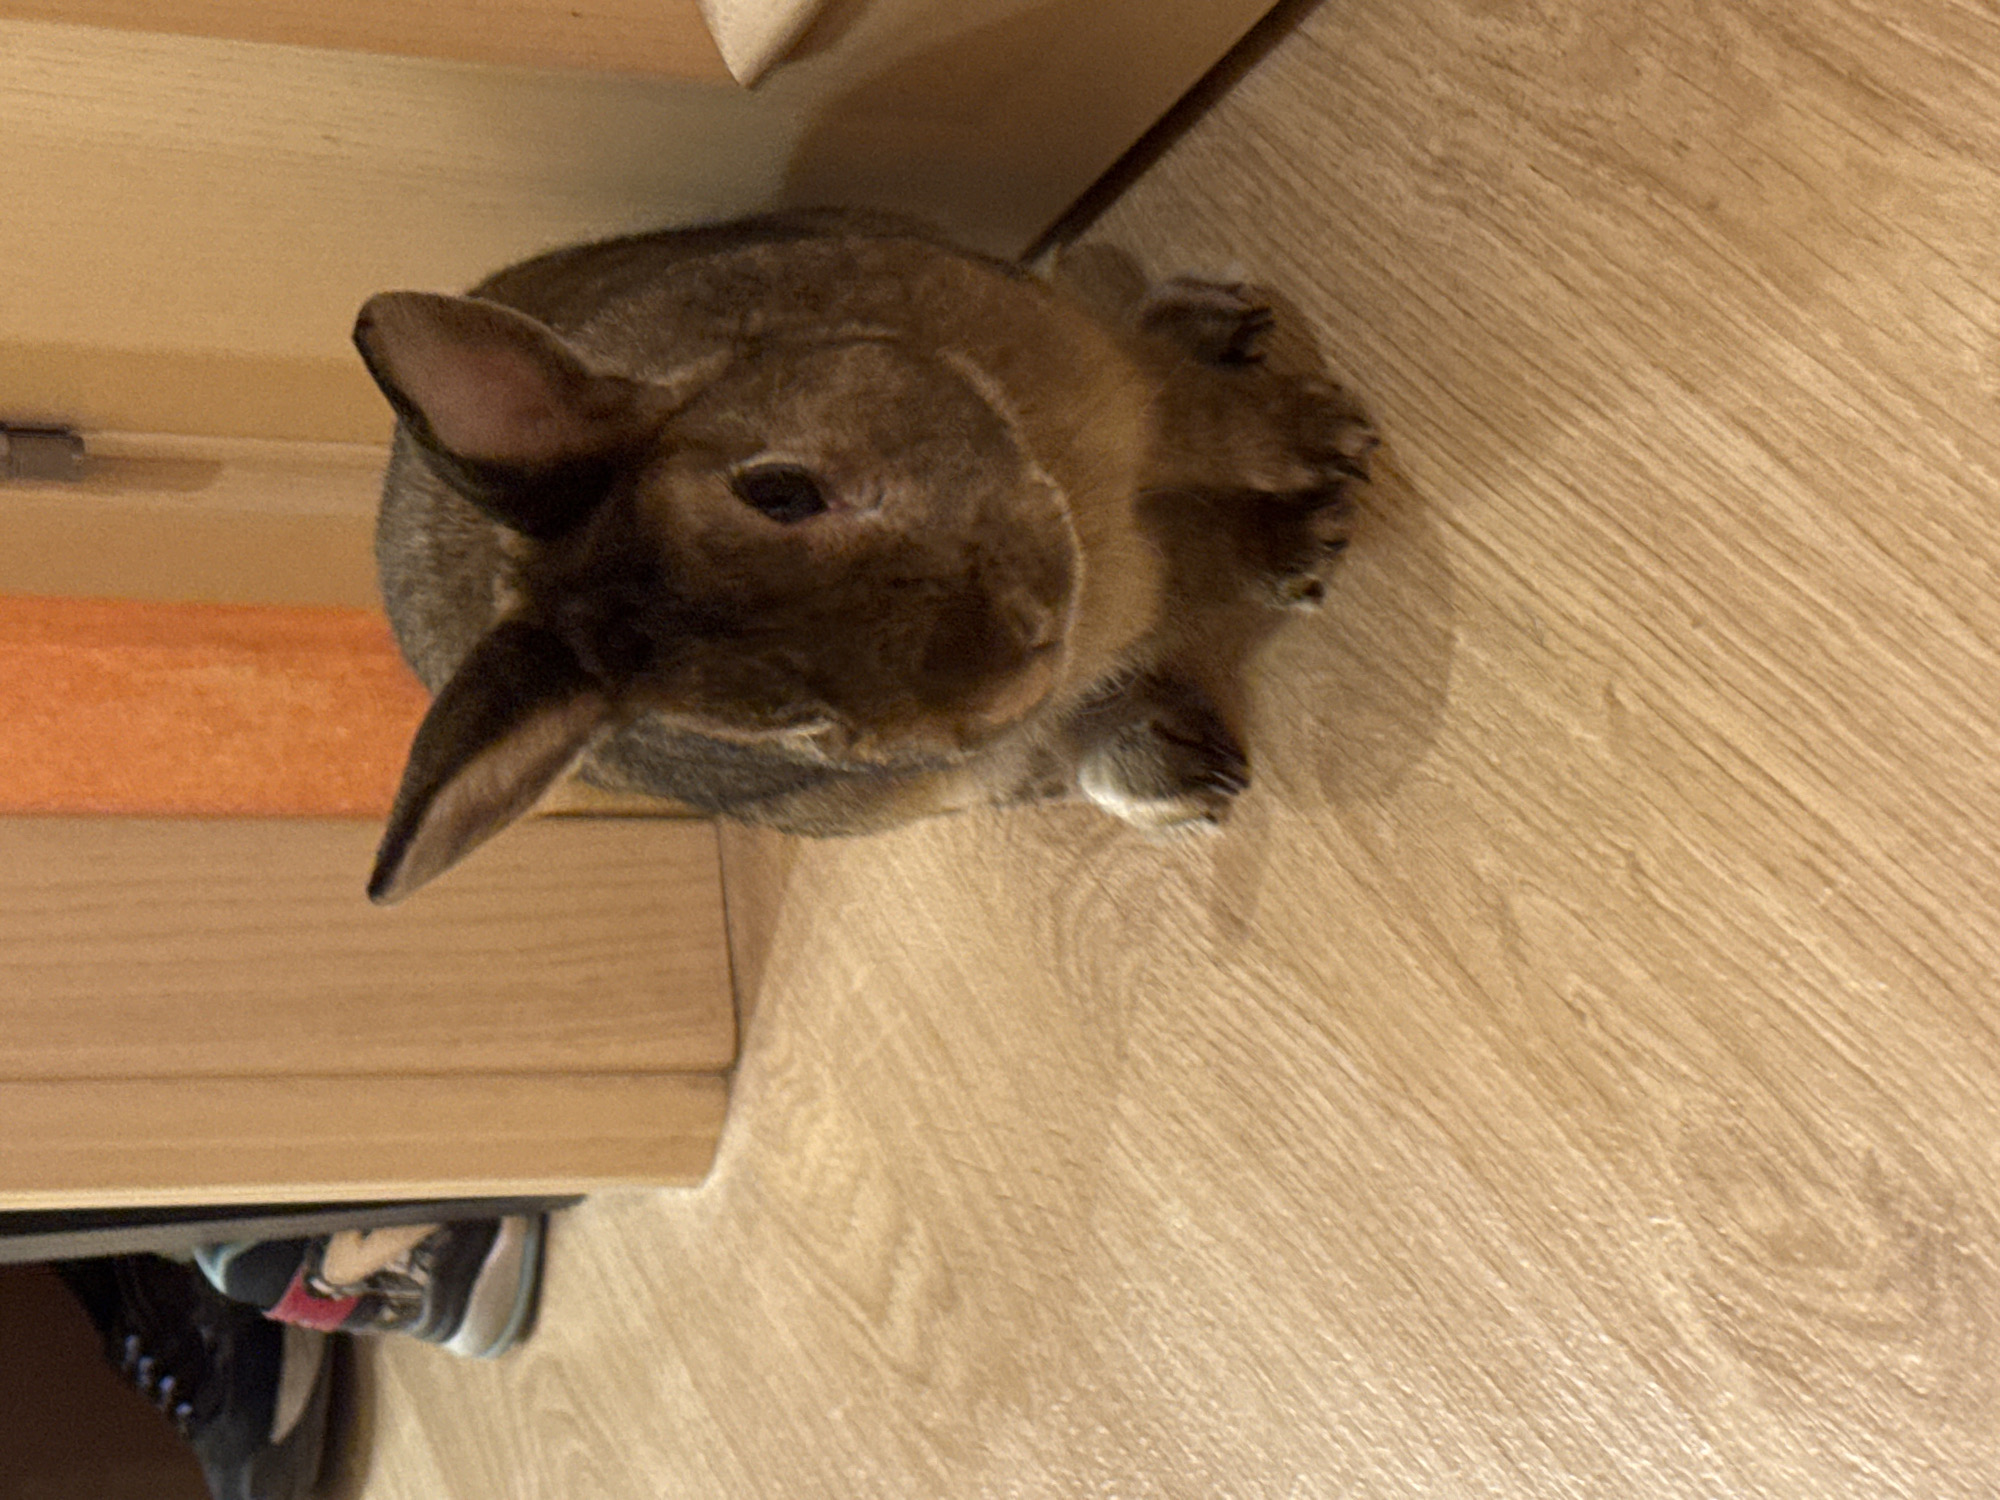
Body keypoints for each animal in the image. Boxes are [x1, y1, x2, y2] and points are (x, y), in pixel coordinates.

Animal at [356, 210, 1374, 903]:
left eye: (780, 491)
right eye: (787, 720)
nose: (1017, 658)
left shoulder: (1123, 388)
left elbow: (1222, 431)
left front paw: (1327, 447)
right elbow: (1194, 554)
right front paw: (1308, 527)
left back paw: (1219, 329)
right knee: (1054, 762)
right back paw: (1180, 768)